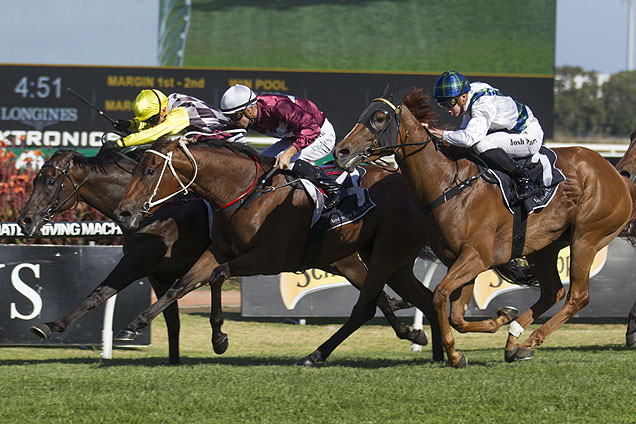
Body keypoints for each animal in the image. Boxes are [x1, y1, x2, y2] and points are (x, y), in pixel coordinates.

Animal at [16, 147, 432, 362]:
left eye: (50, 180)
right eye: (33, 178)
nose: (24, 219)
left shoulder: (143, 260)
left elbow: (105, 292)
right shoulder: (166, 268)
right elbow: (169, 303)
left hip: (350, 256)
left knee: (374, 296)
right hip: (342, 258)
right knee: (378, 295)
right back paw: (410, 332)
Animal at [336, 88, 632, 368]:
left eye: (379, 118)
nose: (341, 151)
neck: (449, 183)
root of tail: (616, 174)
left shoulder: (476, 257)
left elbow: (440, 296)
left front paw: (455, 353)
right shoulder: (458, 259)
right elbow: (456, 314)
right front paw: (491, 326)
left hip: (587, 238)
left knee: (577, 297)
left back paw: (530, 342)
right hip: (543, 246)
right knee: (552, 292)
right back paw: (514, 341)